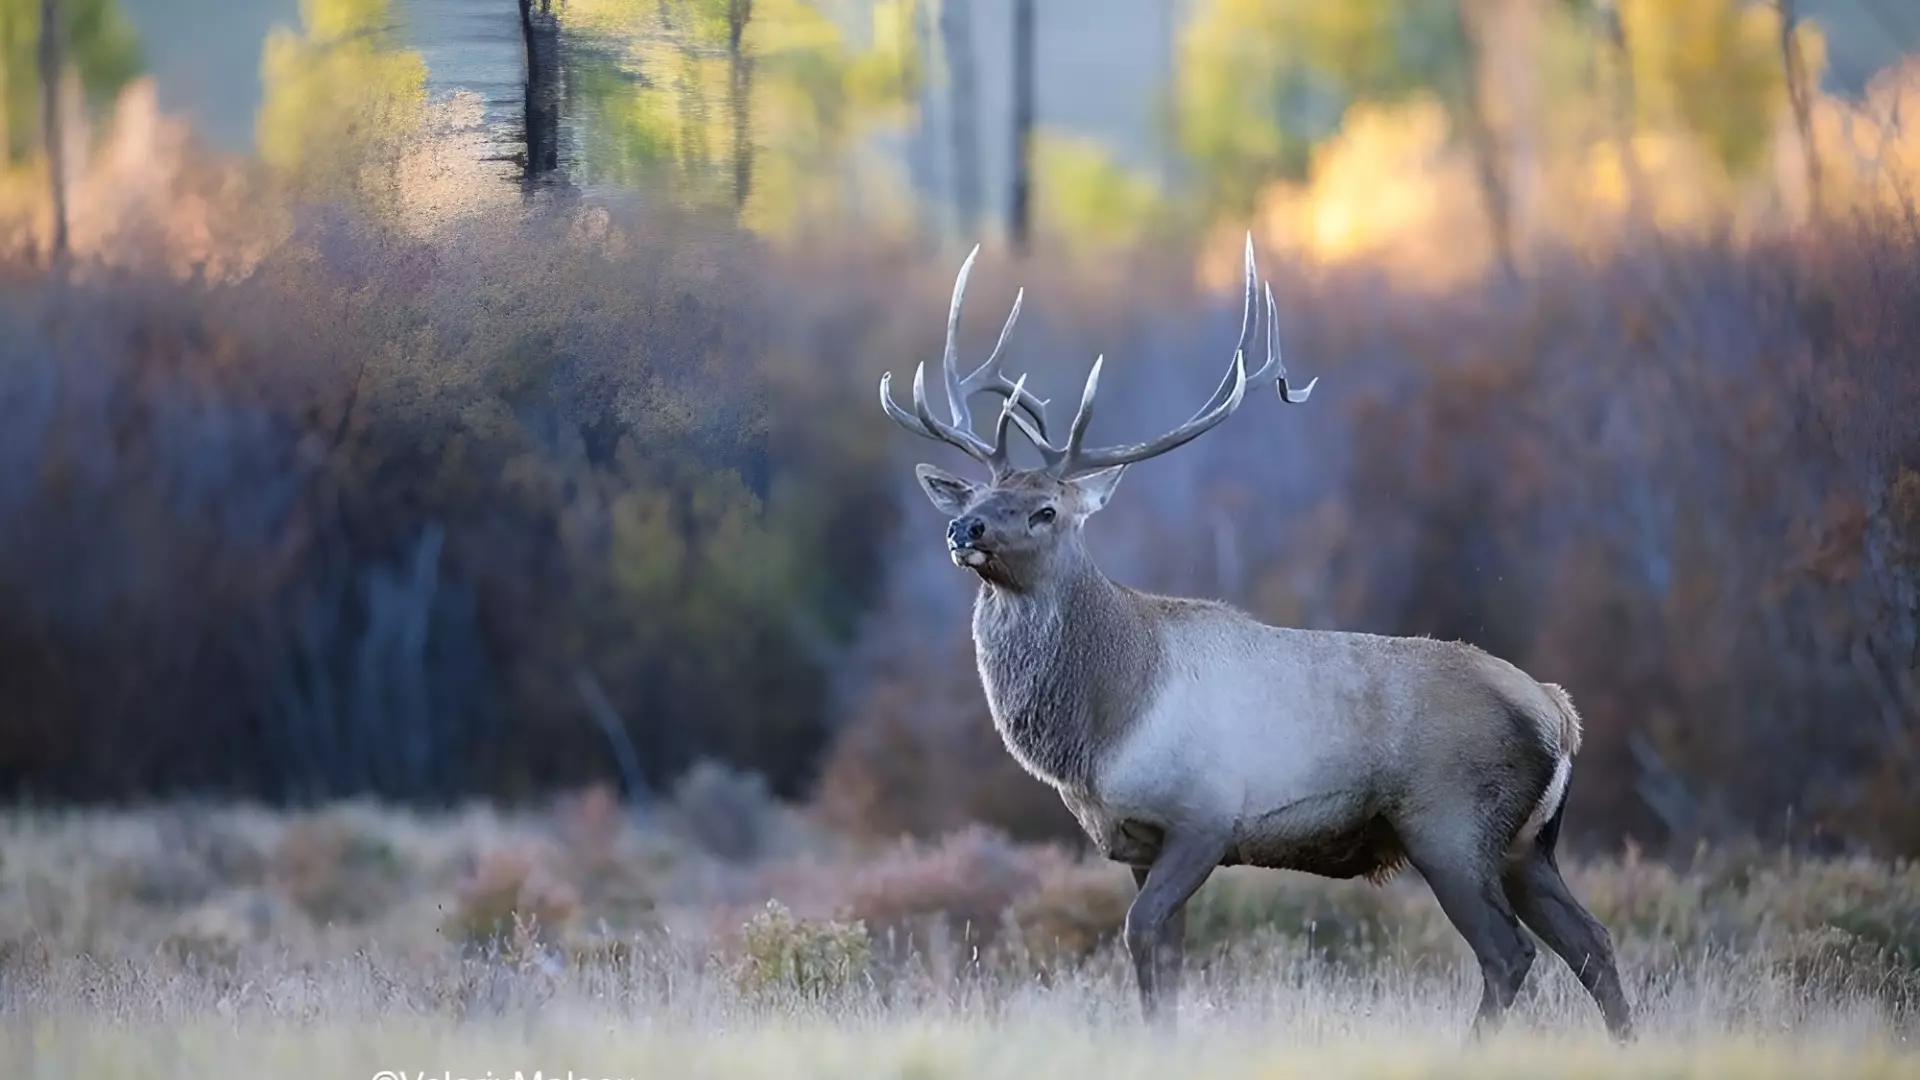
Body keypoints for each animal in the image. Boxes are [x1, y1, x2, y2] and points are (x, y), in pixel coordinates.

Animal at [879, 235, 1628, 1037]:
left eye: (1046, 509)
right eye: (982, 494)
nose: (964, 528)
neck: (1105, 727)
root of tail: (1557, 712)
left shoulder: (1204, 815)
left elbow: (1139, 935)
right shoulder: (1142, 841)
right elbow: (1162, 964)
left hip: (1452, 825)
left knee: (1510, 953)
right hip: (1527, 845)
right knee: (1593, 942)